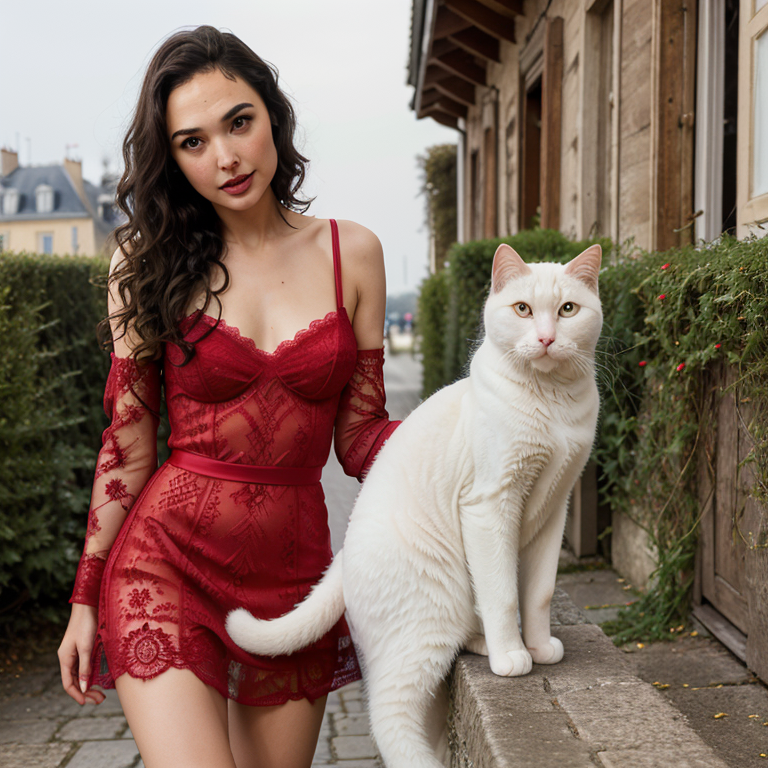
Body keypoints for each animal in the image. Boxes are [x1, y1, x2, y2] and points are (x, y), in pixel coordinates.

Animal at [225, 243, 604, 764]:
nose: (547, 338)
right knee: (391, 719)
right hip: (427, 624)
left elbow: (539, 592)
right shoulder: (490, 505)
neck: (553, 404)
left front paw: (539, 645)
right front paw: (513, 656)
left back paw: (484, 643)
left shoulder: (554, 508)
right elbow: (504, 592)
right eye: (523, 309)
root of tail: (342, 556)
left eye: (568, 310)